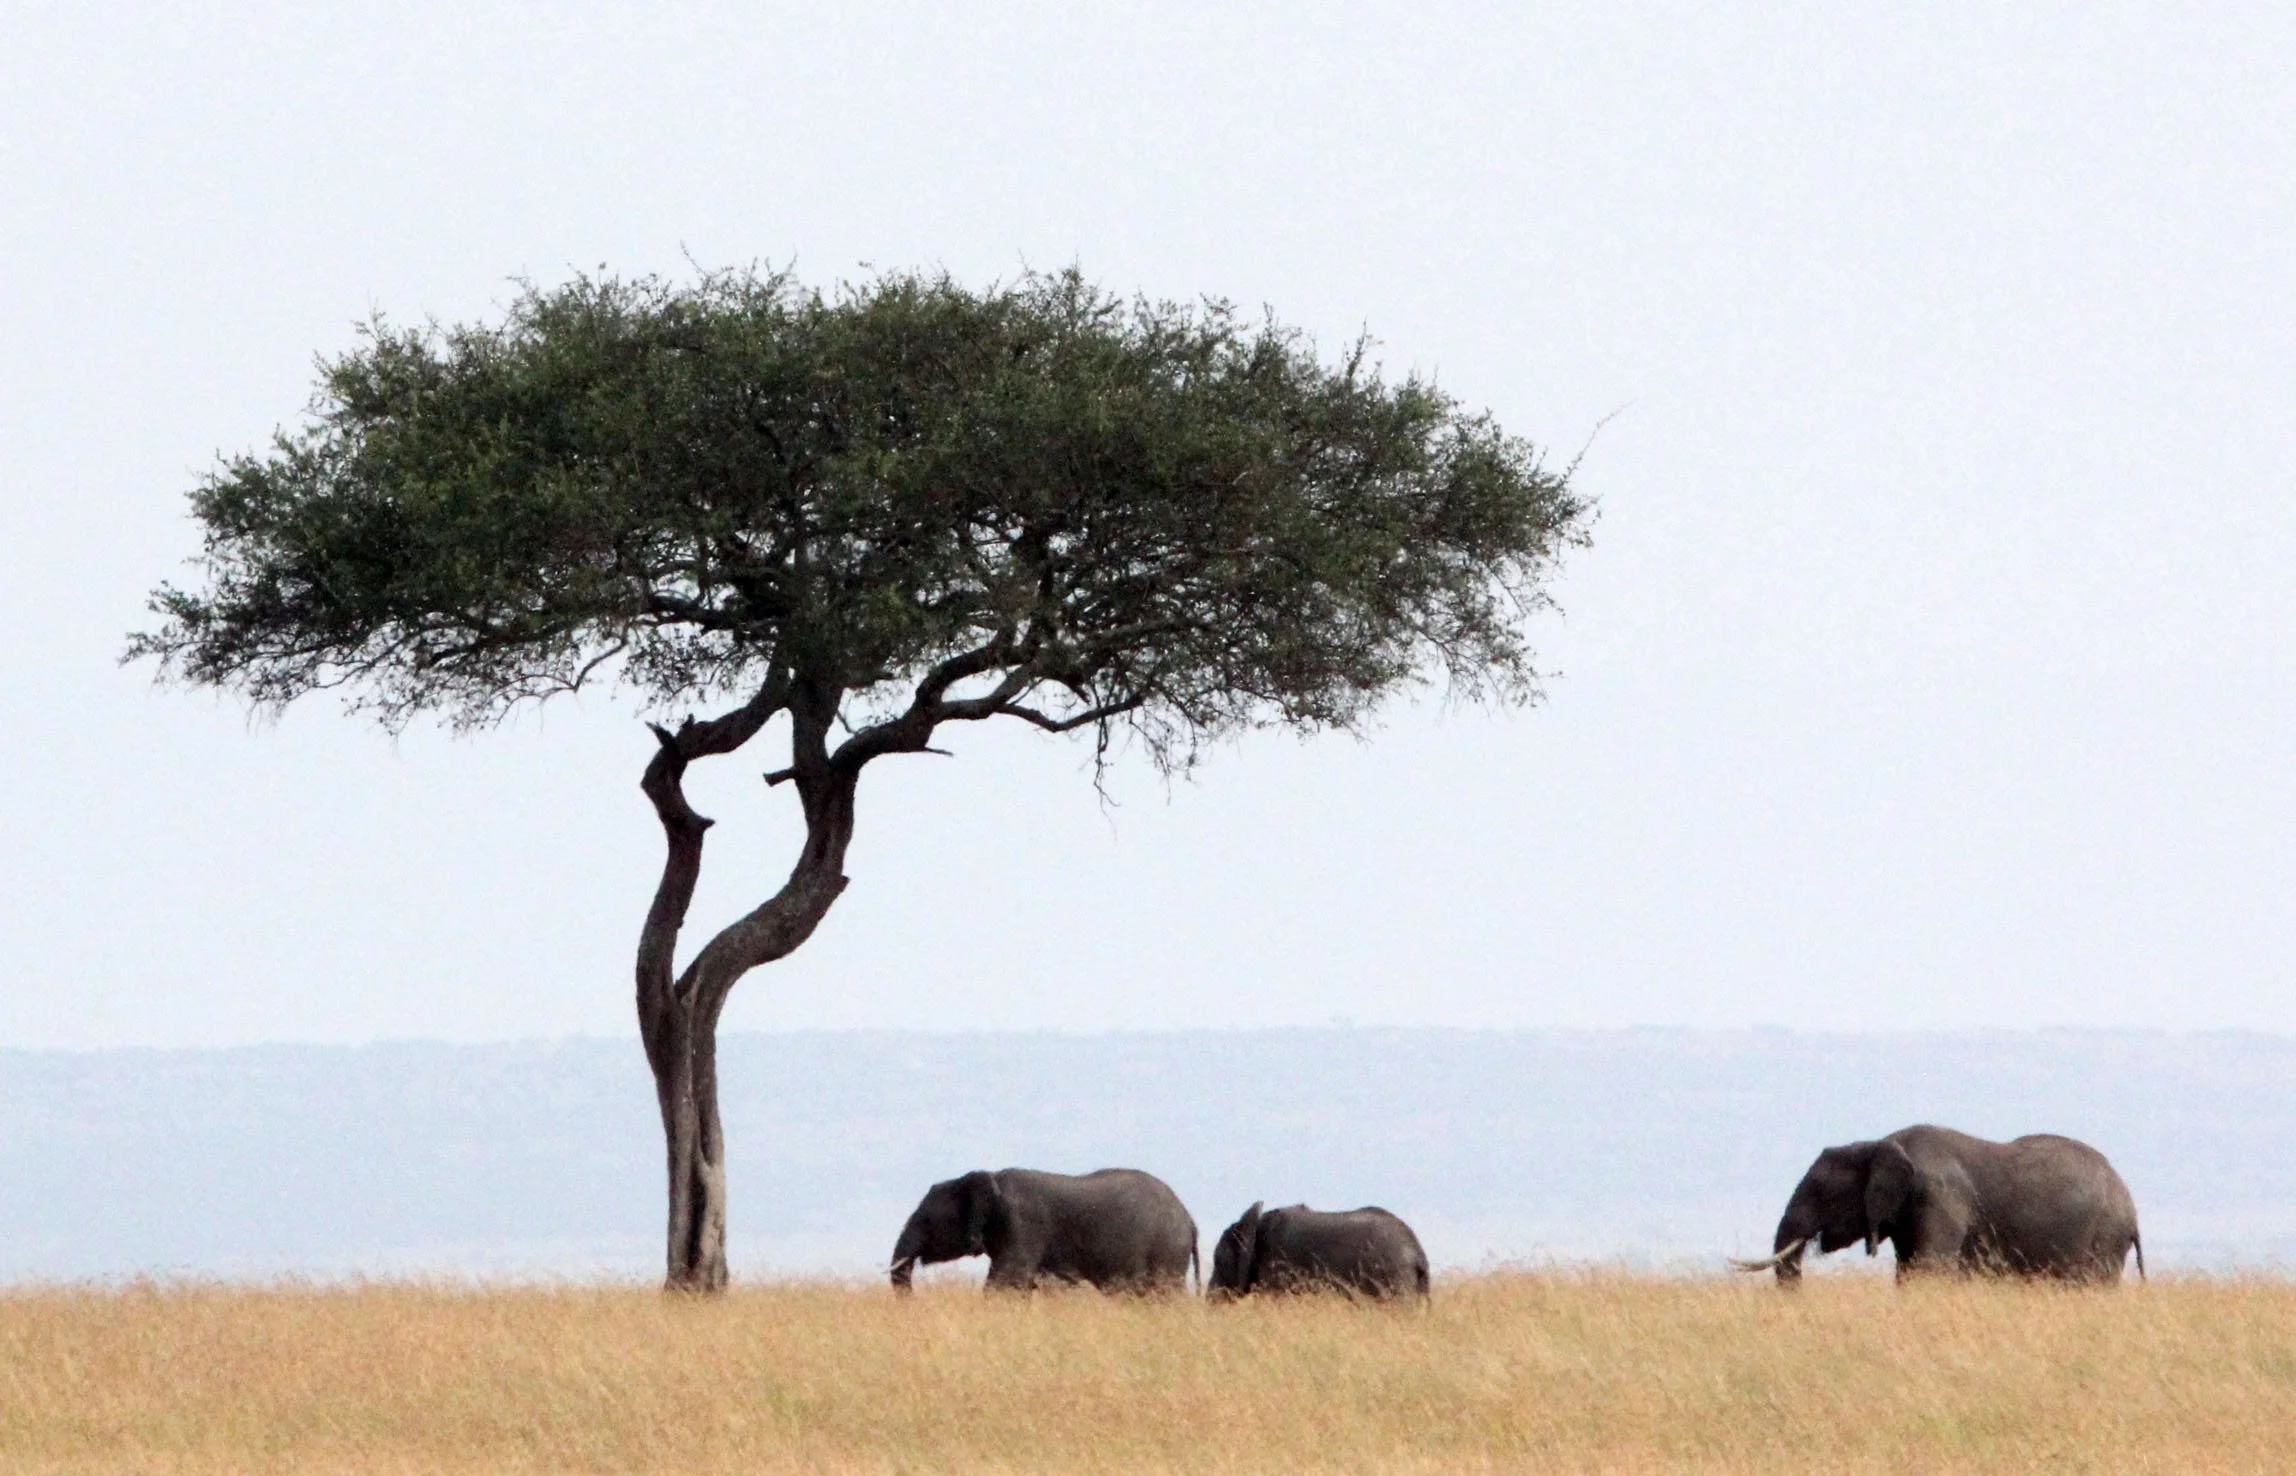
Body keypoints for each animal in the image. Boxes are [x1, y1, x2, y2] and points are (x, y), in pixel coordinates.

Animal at [888, 1167, 1198, 1294]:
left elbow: (1004, 1283)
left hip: (1165, 1250)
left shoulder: (1022, 1224)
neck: (990, 1179)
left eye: (927, 1220)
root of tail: (1190, 1220)